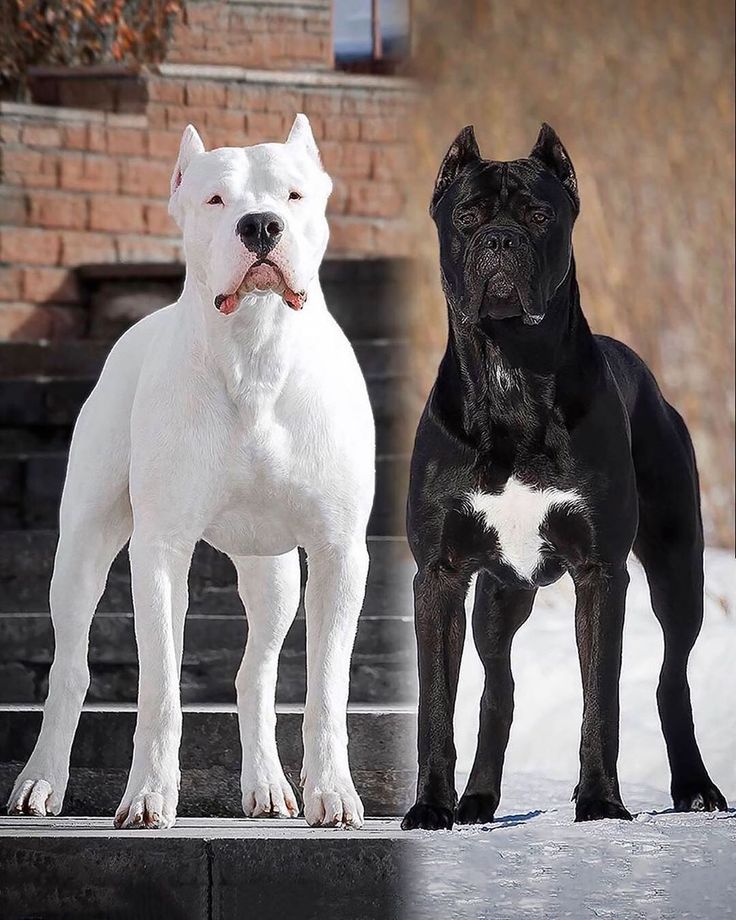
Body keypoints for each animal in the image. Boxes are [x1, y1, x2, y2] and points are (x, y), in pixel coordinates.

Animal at [5, 115, 374, 828]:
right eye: (215, 199)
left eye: (292, 195)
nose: (260, 225)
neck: (256, 351)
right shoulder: (159, 548)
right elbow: (160, 689)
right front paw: (148, 795)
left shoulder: (339, 551)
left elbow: (327, 688)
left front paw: (333, 792)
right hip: (83, 548)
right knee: (72, 668)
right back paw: (40, 782)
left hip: (273, 573)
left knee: (255, 672)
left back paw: (267, 787)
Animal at [400, 120, 728, 828]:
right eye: (467, 215)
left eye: (538, 214)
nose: (499, 241)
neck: (513, 375)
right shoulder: (440, 574)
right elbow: (435, 704)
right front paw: (431, 808)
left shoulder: (601, 571)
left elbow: (600, 695)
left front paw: (600, 800)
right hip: (500, 596)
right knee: (497, 688)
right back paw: (477, 800)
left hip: (677, 567)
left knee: (671, 677)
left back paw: (695, 786)